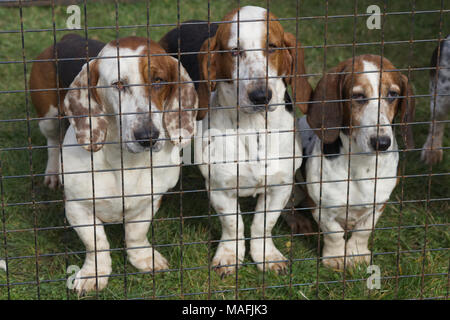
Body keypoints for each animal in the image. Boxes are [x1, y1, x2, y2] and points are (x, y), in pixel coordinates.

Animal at [29, 36, 196, 294]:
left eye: (159, 81)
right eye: (118, 84)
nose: (147, 136)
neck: (124, 161)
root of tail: (67, 37)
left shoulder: (150, 200)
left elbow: (136, 233)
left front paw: (144, 259)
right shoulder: (78, 207)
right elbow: (96, 242)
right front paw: (93, 274)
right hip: (47, 116)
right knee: (52, 142)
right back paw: (53, 173)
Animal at [162, 5, 312, 276]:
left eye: (272, 47)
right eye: (234, 51)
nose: (260, 96)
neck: (253, 129)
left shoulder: (280, 186)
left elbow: (263, 224)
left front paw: (266, 256)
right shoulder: (220, 188)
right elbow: (234, 225)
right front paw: (229, 256)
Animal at [288, 55, 414, 270]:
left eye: (393, 94)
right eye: (358, 96)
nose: (381, 143)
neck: (362, 163)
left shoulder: (379, 204)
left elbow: (364, 230)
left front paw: (356, 254)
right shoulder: (322, 207)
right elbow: (334, 233)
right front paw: (336, 257)